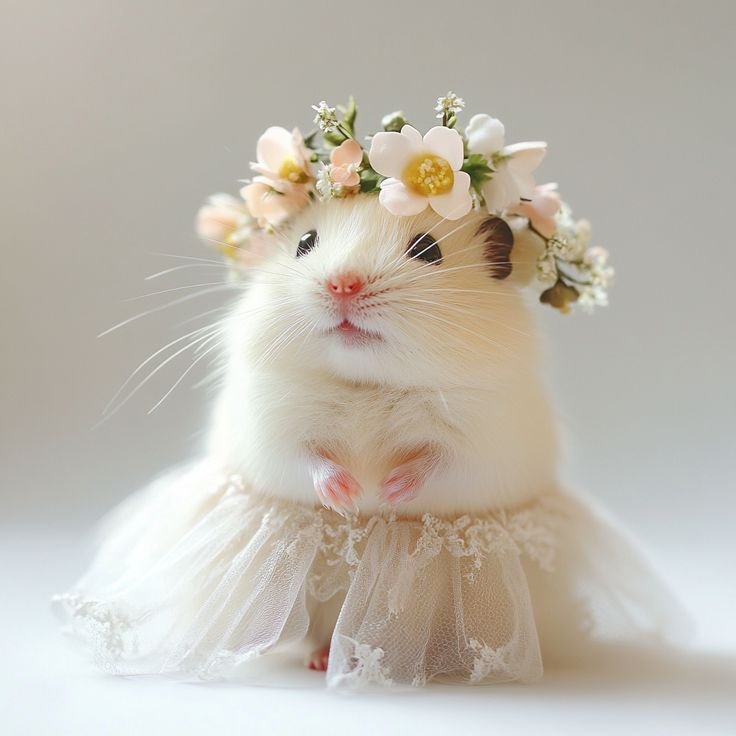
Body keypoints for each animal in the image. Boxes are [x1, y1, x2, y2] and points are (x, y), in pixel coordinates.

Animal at [208, 195, 559, 516]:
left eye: (428, 250)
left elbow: (438, 463)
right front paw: (348, 497)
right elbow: (306, 459)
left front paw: (387, 491)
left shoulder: (482, 446)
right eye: (304, 243)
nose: (342, 285)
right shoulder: (271, 432)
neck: (369, 384)